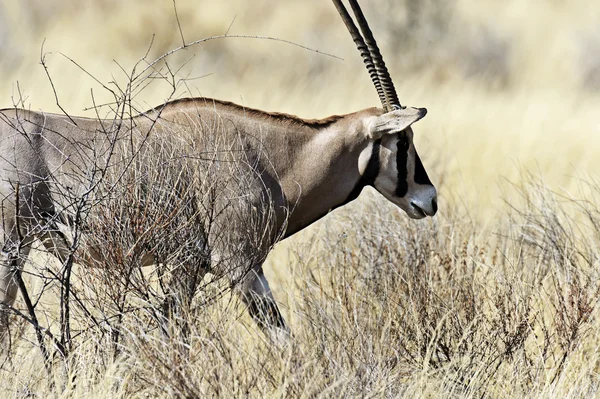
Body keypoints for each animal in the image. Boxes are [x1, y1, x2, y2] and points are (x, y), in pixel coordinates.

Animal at [0, 0, 436, 338]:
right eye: (403, 141)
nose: (429, 199)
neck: (272, 160)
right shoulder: (237, 261)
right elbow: (279, 337)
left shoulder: (193, 264)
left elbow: (172, 330)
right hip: (12, 248)